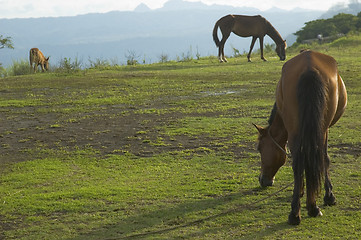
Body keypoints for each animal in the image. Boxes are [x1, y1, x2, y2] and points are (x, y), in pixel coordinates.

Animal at [252, 50, 348, 225]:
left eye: (259, 148)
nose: (262, 179)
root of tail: (309, 67)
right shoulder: (324, 131)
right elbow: (325, 159)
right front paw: (329, 196)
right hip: (318, 129)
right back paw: (311, 208)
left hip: (296, 130)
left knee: (299, 162)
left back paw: (297, 213)